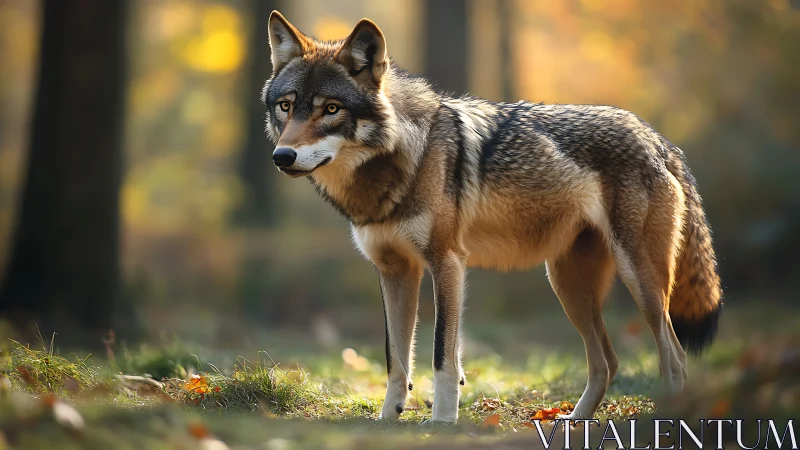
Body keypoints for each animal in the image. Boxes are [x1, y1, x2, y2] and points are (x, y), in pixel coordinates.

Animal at [262, 11, 722, 423]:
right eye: (286, 106)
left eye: (331, 109)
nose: (282, 156)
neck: (404, 156)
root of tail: (658, 138)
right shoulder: (395, 271)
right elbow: (396, 358)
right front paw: (387, 420)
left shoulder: (447, 263)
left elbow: (442, 355)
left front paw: (442, 423)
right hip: (567, 285)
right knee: (607, 362)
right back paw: (572, 421)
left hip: (638, 281)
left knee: (674, 357)